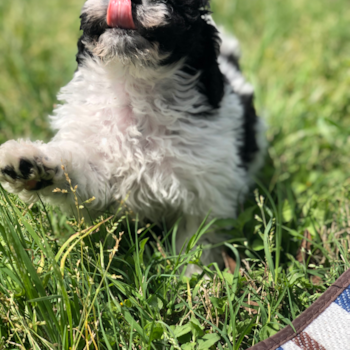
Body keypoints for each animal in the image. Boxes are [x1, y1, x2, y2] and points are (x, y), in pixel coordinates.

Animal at [0, 0, 266, 272]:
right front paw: (29, 164)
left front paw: (192, 274)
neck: (134, 81)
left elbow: (197, 239)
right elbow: (77, 174)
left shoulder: (205, 190)